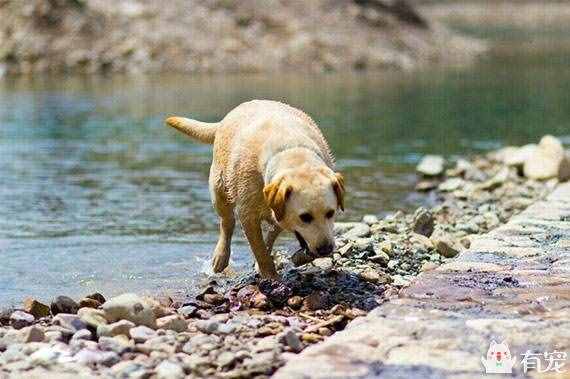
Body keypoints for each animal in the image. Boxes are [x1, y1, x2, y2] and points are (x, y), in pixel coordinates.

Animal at [164, 101, 342, 280]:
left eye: (331, 213)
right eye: (305, 217)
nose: (326, 249)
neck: (293, 153)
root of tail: (227, 117)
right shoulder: (247, 215)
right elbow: (259, 249)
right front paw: (271, 276)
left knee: (271, 229)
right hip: (219, 187)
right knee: (227, 221)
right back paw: (221, 256)